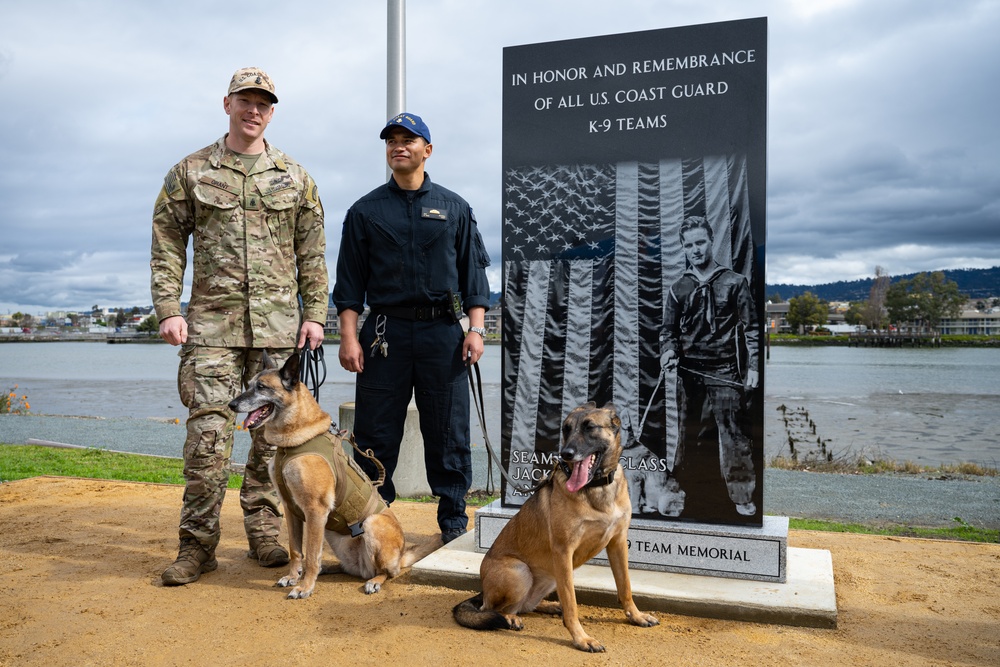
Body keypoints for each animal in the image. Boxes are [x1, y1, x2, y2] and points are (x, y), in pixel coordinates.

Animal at [232, 354, 444, 600]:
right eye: (249, 385)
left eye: (262, 387)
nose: (231, 405)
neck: (292, 443)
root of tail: (400, 556)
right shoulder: (291, 508)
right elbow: (297, 550)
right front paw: (293, 576)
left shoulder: (315, 510)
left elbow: (311, 554)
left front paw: (305, 587)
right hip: (331, 533)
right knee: (344, 567)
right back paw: (325, 570)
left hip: (371, 524)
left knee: (387, 572)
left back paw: (374, 581)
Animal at [452, 402, 656, 652]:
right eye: (565, 430)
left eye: (590, 427)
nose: (565, 454)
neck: (595, 487)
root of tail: (483, 590)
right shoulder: (563, 551)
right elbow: (571, 602)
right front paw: (581, 638)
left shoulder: (617, 544)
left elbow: (625, 586)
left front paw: (636, 616)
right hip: (521, 571)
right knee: (493, 609)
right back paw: (510, 618)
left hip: (550, 576)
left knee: (526, 605)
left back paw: (548, 606)